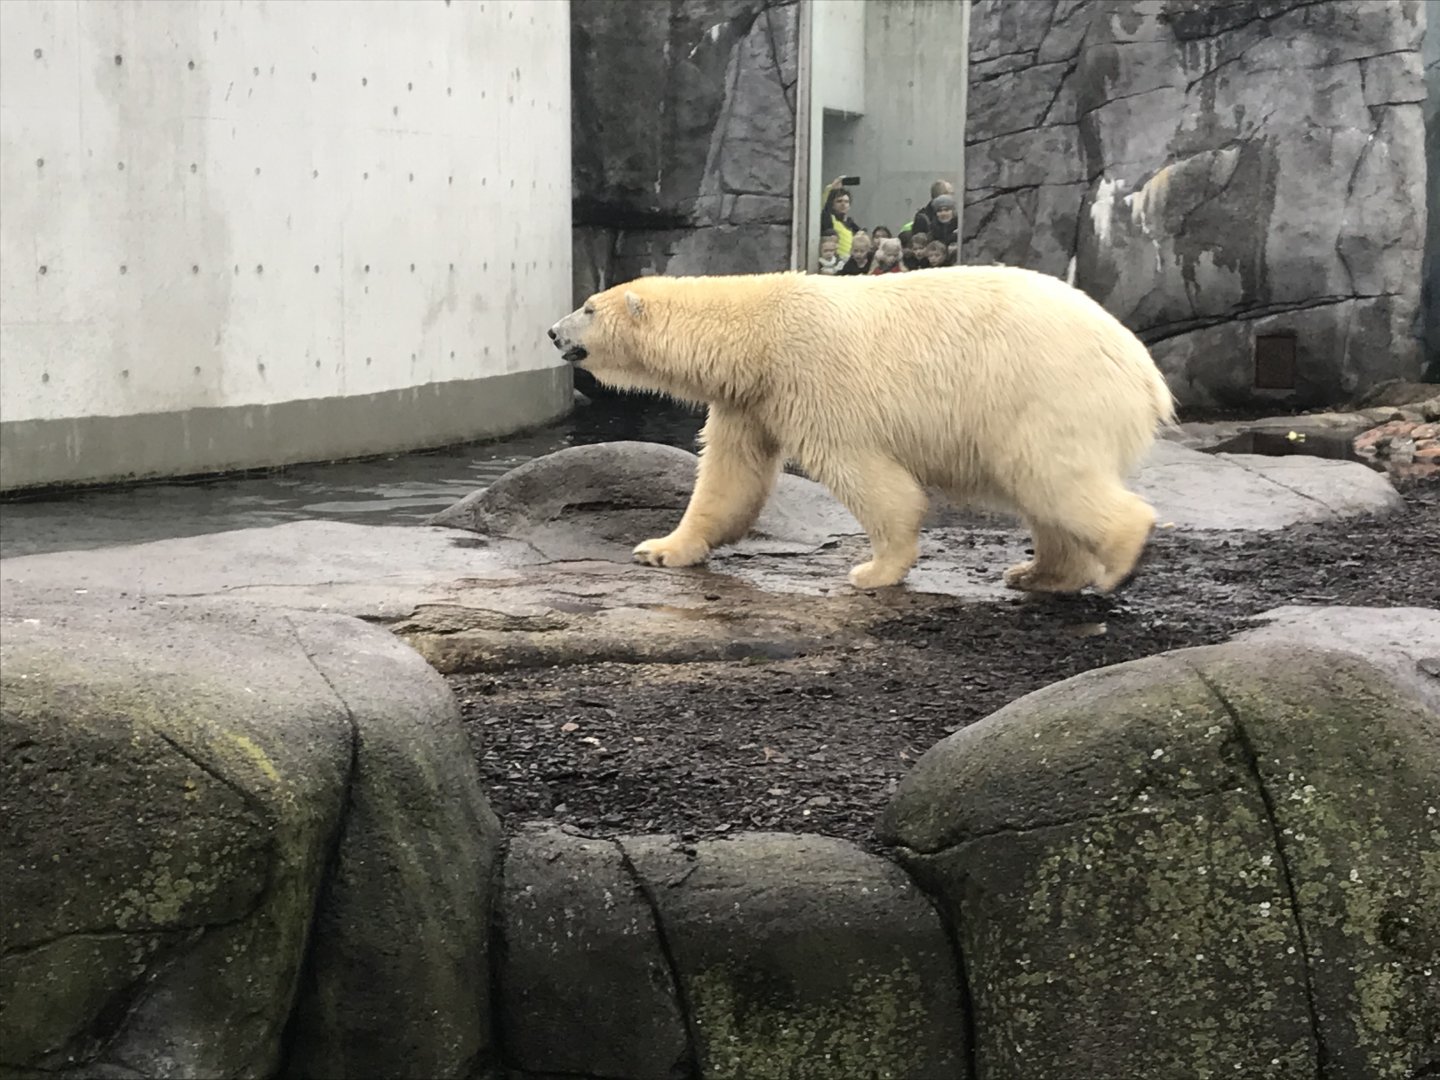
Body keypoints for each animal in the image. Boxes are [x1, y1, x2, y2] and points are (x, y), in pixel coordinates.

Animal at [547, 266, 1175, 593]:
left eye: (589, 307)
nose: (553, 331)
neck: (758, 332)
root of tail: (1147, 378)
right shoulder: (750, 400)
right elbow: (730, 478)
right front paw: (661, 549)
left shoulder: (812, 379)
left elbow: (867, 475)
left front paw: (874, 570)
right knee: (1043, 493)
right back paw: (1040, 572)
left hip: (1046, 393)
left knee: (1051, 477)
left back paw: (1117, 559)